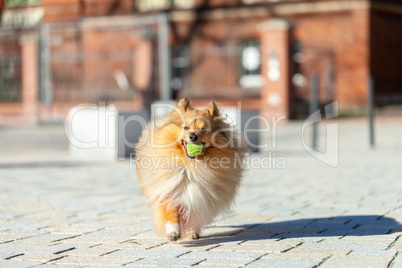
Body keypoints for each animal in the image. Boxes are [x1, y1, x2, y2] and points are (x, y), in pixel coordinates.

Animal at [137, 98, 247, 241]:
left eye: (204, 129)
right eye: (186, 127)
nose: (193, 136)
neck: (190, 167)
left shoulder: (198, 198)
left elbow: (192, 217)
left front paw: (192, 232)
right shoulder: (168, 192)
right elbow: (170, 214)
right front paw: (173, 233)